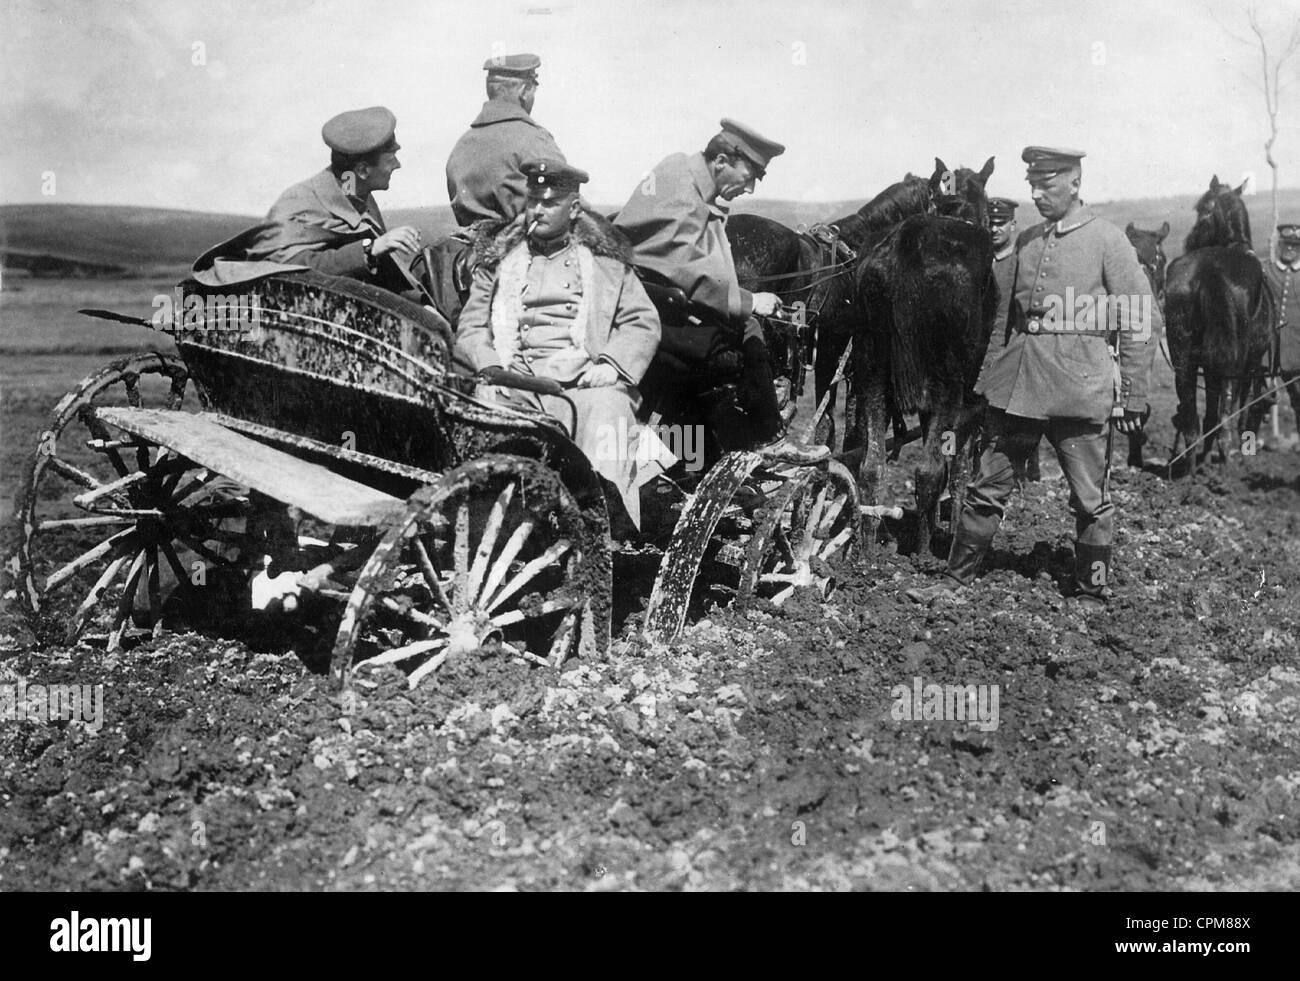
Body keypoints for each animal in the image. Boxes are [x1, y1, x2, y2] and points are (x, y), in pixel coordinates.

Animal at [852, 153, 993, 553]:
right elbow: (952, 470)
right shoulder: (962, 395)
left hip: (870, 371)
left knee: (871, 467)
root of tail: (905, 245)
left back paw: (867, 551)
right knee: (928, 471)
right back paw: (924, 552)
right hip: (947, 382)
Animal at [1164, 176, 1274, 475]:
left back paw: (1191, 470)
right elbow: (1241, 408)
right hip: (1234, 363)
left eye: (1200, 211)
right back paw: (1228, 464)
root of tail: (1209, 270)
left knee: (1191, 413)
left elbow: (1208, 413)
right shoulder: (1250, 364)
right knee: (1227, 411)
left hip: (1183, 357)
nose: (1188, 242)